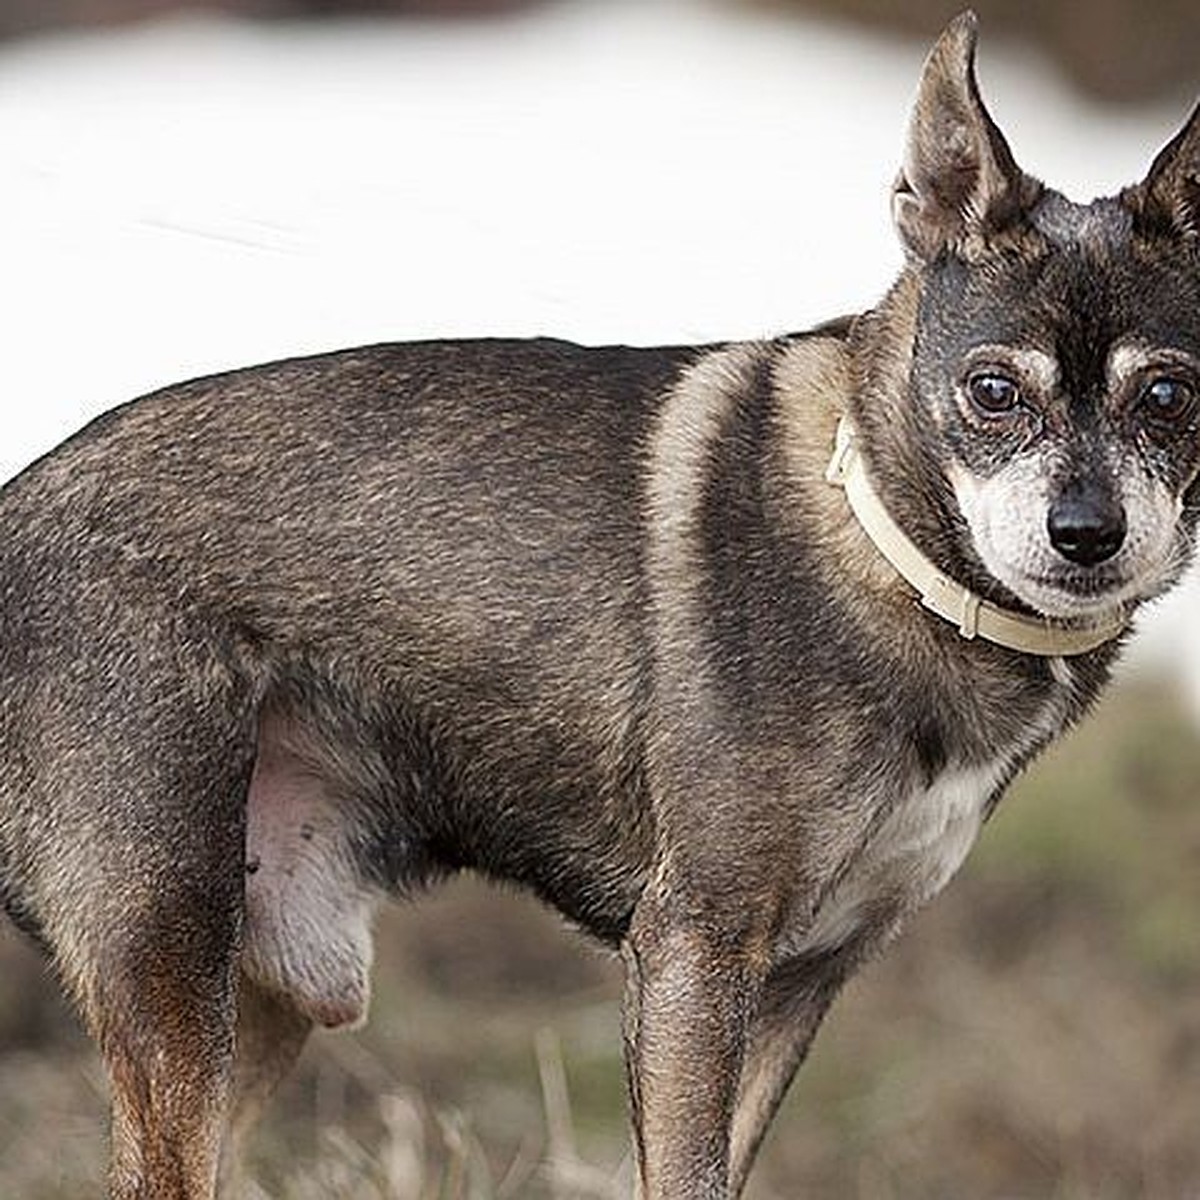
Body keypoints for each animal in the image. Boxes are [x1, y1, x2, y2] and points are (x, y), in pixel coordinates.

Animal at [2, 11, 1200, 1200]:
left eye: (1168, 396)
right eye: (993, 392)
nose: (1087, 533)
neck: (887, 541)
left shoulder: (798, 984)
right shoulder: (693, 952)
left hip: (269, 992)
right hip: (172, 956)